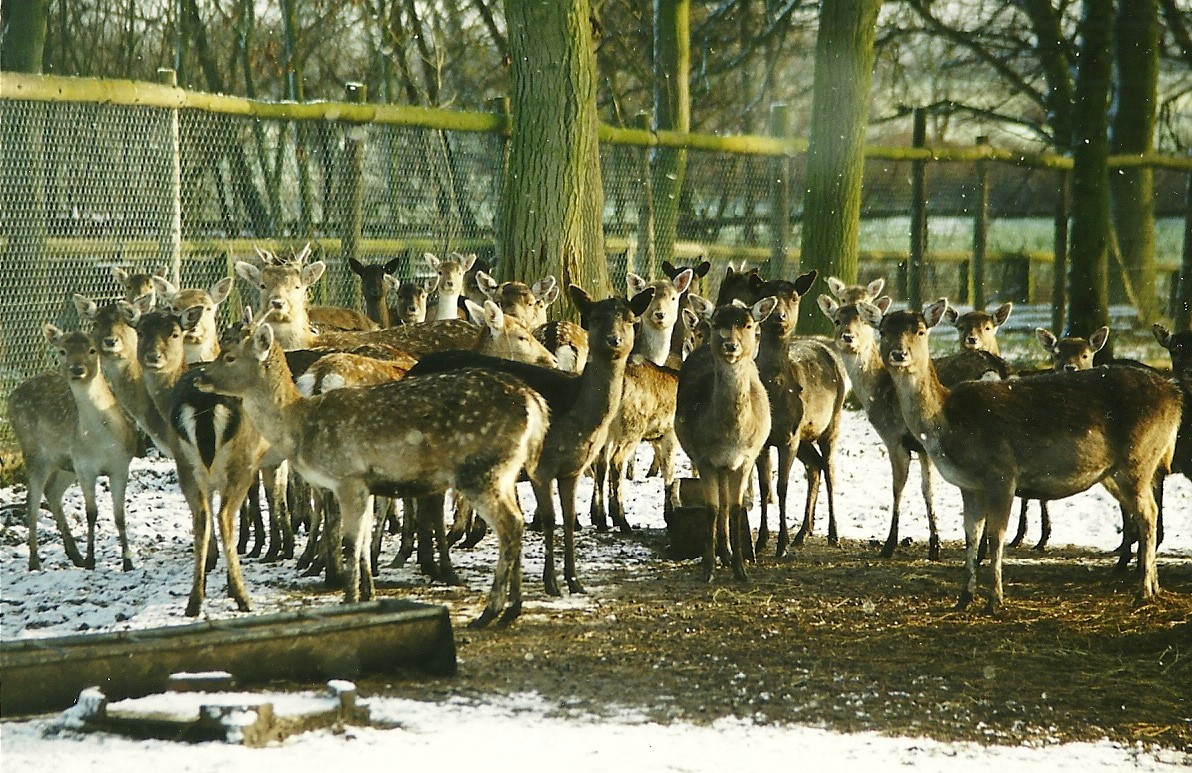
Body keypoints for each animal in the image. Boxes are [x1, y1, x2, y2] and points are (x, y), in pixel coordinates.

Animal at [8, 326, 140, 572]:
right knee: (32, 499)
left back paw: (74, 555)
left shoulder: (121, 465)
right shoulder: (84, 467)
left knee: (52, 491)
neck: (103, 442)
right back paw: (35, 562)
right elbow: (91, 512)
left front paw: (128, 562)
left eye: (92, 350)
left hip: (64, 464)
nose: (77, 369)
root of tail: (13, 395)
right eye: (62, 351)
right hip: (34, 452)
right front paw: (91, 560)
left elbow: (119, 514)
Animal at [194, 319, 551, 628]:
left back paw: (490, 612)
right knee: (517, 521)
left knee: (509, 524)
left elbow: (351, 542)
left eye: (229, 356)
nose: (199, 376)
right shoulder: (364, 484)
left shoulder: (347, 476)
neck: (301, 424)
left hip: (481, 469)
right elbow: (363, 539)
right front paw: (366, 595)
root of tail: (535, 403)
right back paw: (512, 609)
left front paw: (350, 600)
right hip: (504, 470)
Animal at [675, 296, 777, 582]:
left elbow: (735, 507)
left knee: (726, 501)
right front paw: (707, 570)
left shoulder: (746, 458)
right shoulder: (703, 456)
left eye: (748, 324)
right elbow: (711, 508)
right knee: (719, 502)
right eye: (716, 323)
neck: (729, 437)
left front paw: (741, 570)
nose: (730, 345)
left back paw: (729, 553)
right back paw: (722, 552)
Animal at [753, 274, 847, 558]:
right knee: (815, 466)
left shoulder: (789, 437)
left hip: (832, 421)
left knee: (829, 469)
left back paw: (833, 534)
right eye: (765, 294)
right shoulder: (764, 440)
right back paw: (803, 533)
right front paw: (760, 542)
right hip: (806, 433)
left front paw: (781, 545)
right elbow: (765, 487)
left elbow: (782, 487)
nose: (779, 316)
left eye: (794, 297)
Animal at [858, 298, 1181, 611]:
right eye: (883, 331)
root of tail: (1174, 397)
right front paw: (964, 597)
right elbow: (970, 534)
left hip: (1137, 460)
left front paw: (994, 600)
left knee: (1148, 513)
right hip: (1120, 469)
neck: (948, 422)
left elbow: (995, 535)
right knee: (1145, 513)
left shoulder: (1002, 474)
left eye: (921, 331)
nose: (899, 354)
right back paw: (1153, 586)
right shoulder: (968, 485)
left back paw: (1144, 590)